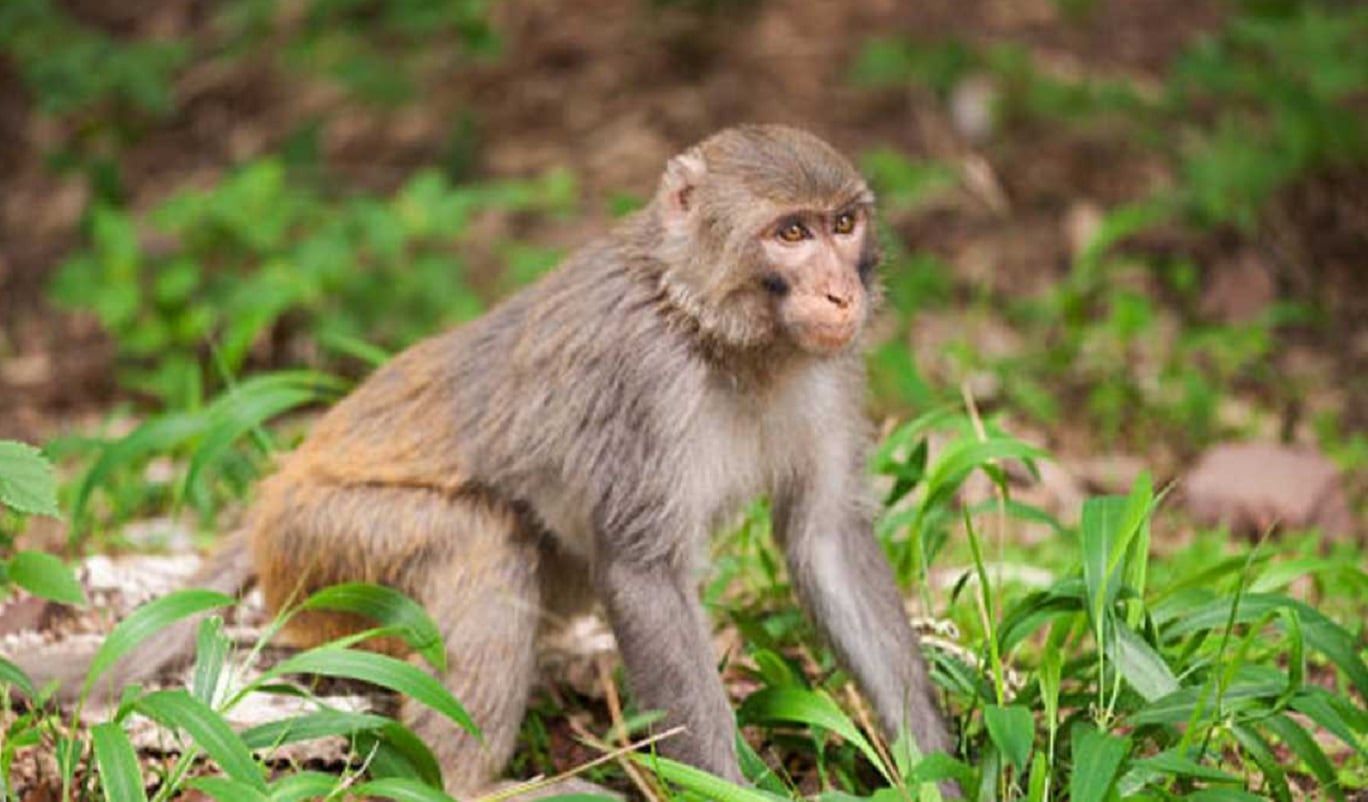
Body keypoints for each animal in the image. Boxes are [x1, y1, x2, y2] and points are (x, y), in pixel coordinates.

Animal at [12, 125, 957, 796]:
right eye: (790, 233)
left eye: (843, 223)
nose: (842, 291)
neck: (716, 331)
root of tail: (272, 502)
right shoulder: (643, 377)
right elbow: (644, 571)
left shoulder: (830, 370)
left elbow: (826, 537)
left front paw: (937, 772)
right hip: (328, 551)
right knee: (480, 542)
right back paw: (474, 787)